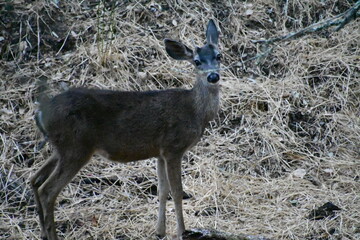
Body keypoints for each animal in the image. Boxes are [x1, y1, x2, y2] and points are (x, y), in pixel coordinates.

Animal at [31, 19, 222, 240]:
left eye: (219, 56)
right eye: (197, 62)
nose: (213, 76)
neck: (195, 112)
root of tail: (41, 113)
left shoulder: (160, 152)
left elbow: (162, 191)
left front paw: (160, 231)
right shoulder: (174, 147)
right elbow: (176, 191)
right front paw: (182, 231)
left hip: (62, 148)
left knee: (35, 179)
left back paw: (43, 232)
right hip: (76, 147)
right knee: (47, 190)